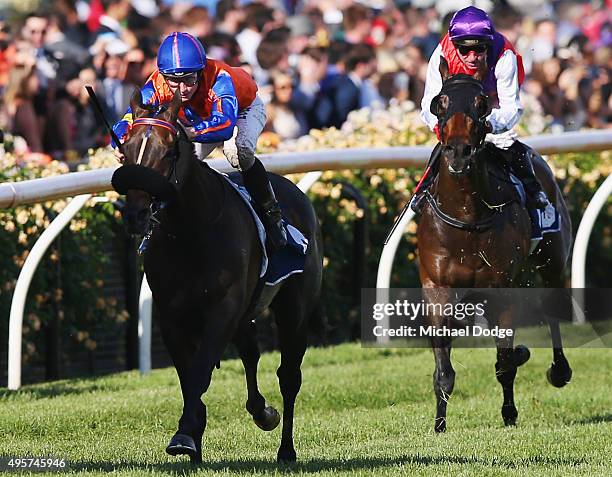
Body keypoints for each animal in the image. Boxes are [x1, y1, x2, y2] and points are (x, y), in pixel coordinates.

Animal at [110, 89, 326, 462]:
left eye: (168, 152)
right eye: (126, 150)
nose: (136, 214)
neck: (189, 231)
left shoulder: (222, 310)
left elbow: (200, 373)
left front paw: (184, 436)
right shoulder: (173, 317)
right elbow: (188, 378)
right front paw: (193, 442)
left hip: (294, 310)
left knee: (289, 376)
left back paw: (286, 449)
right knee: (252, 354)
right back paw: (261, 411)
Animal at [416, 59, 572, 432]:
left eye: (482, 103)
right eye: (440, 102)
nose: (459, 152)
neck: (466, 216)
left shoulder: (503, 287)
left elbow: (504, 364)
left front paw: (509, 413)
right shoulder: (437, 287)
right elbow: (444, 370)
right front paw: (439, 425)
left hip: (552, 259)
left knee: (553, 309)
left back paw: (559, 370)